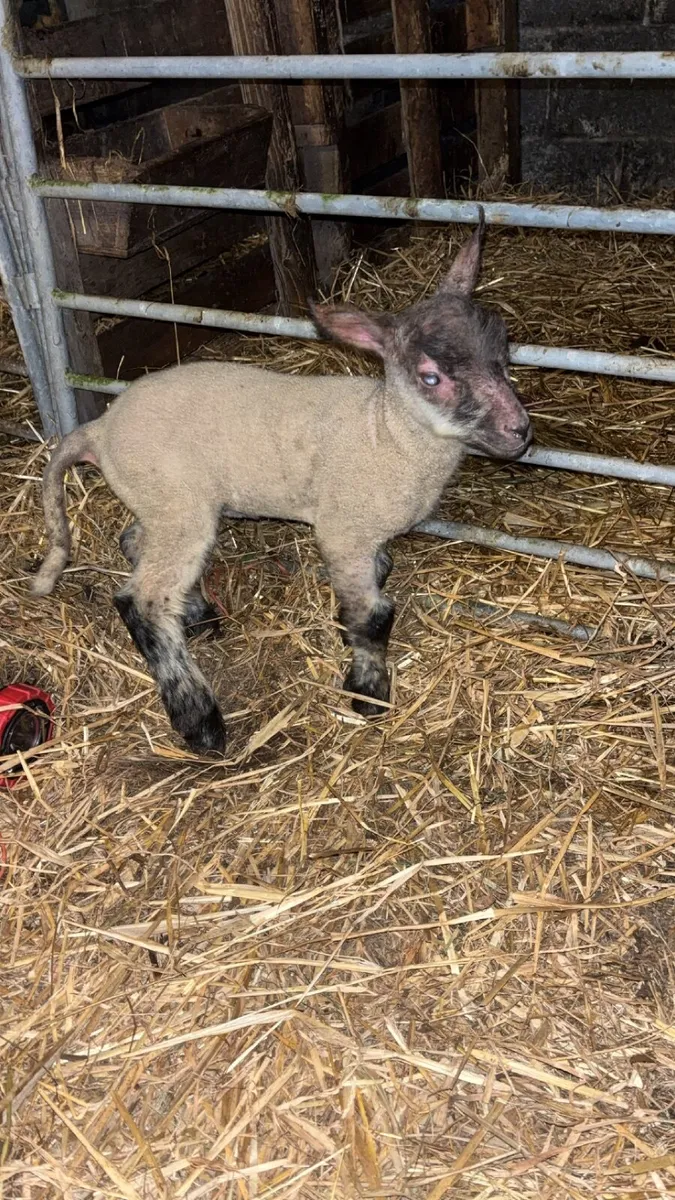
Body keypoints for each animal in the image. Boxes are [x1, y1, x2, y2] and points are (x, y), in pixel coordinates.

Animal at [31, 213, 532, 756]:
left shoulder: (363, 535)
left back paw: (197, 613)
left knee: (135, 542)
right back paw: (199, 719)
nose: (520, 431)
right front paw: (368, 690)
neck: (386, 432)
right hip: (177, 500)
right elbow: (374, 616)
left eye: (503, 351)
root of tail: (99, 431)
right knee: (142, 601)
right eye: (431, 377)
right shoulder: (344, 528)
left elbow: (378, 577)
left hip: (167, 501)